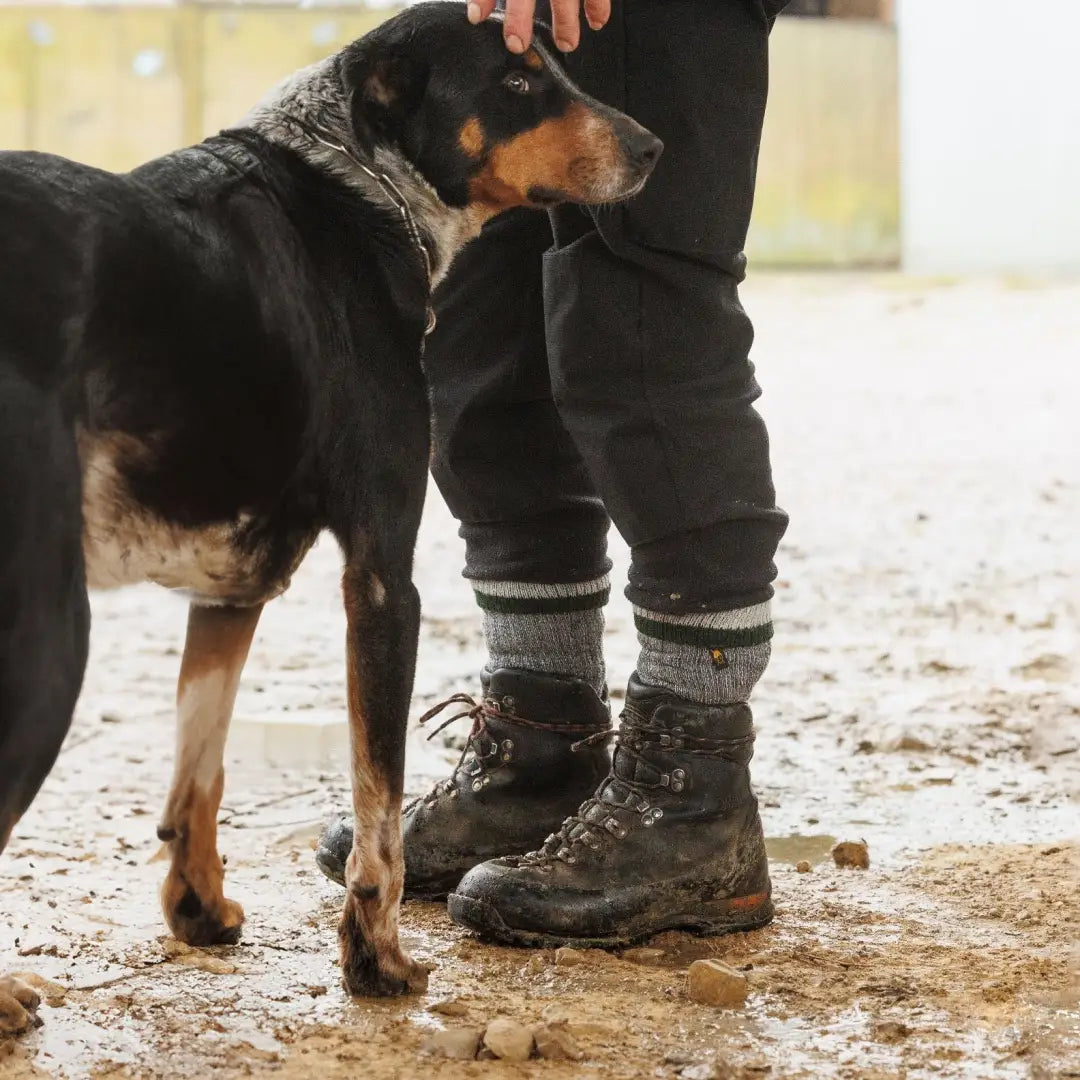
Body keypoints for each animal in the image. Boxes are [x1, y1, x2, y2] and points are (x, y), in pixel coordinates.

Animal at [0, 0, 656, 1015]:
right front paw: (376, 959)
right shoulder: (384, 580)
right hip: (47, 643)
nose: (653, 147)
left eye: (557, 66)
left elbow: (200, 769)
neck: (355, 184)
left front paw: (199, 909)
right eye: (516, 80)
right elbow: (377, 811)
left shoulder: (229, 589)